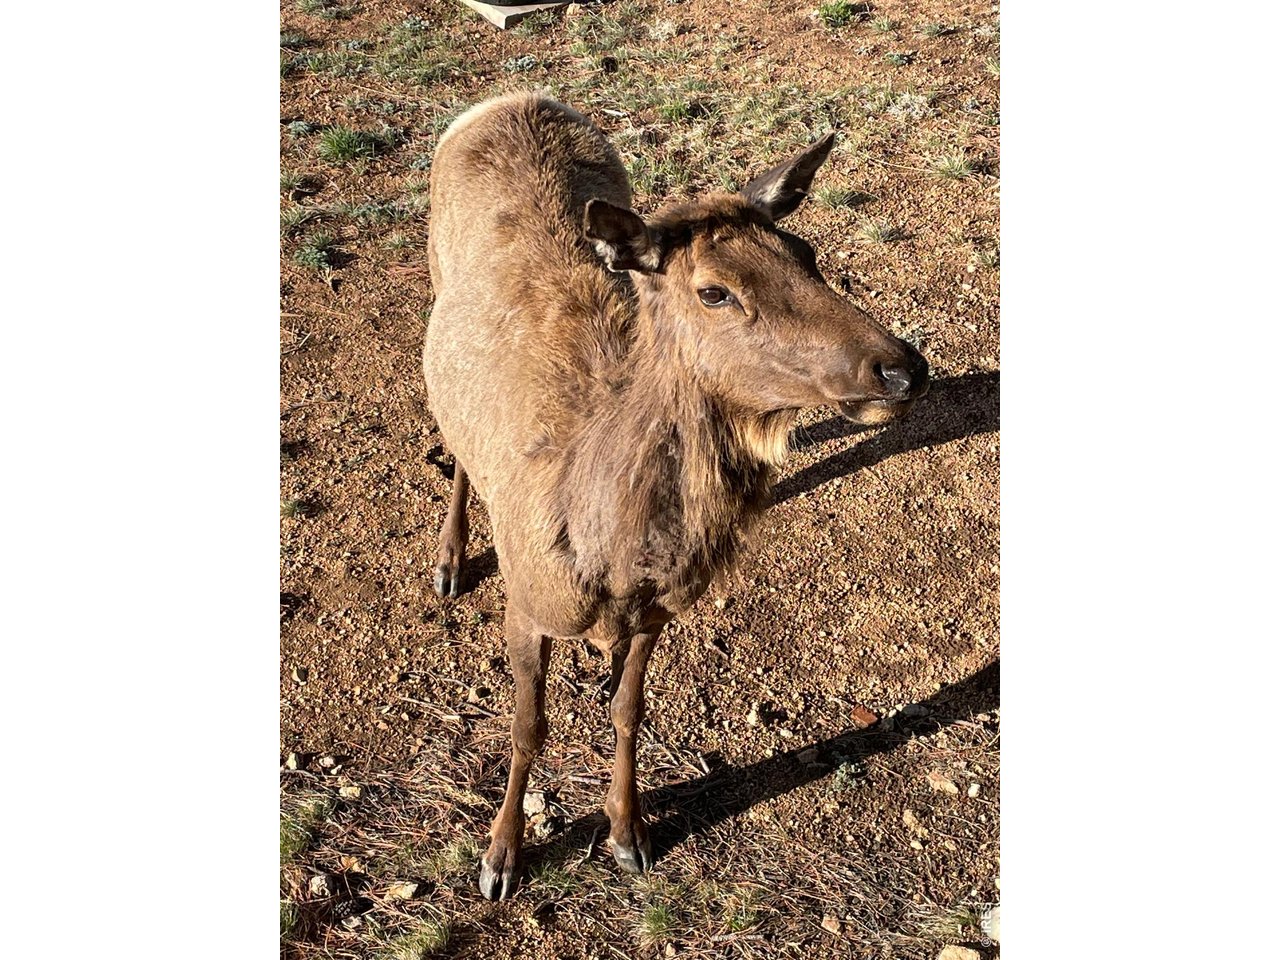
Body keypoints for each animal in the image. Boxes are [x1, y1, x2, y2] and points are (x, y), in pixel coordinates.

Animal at [423, 91, 928, 900]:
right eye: (714, 291)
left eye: (807, 254)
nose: (902, 367)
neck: (609, 552)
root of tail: (508, 98)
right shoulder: (528, 601)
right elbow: (527, 727)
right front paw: (500, 856)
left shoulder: (662, 609)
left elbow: (630, 710)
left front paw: (628, 833)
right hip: (434, 278)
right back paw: (448, 560)